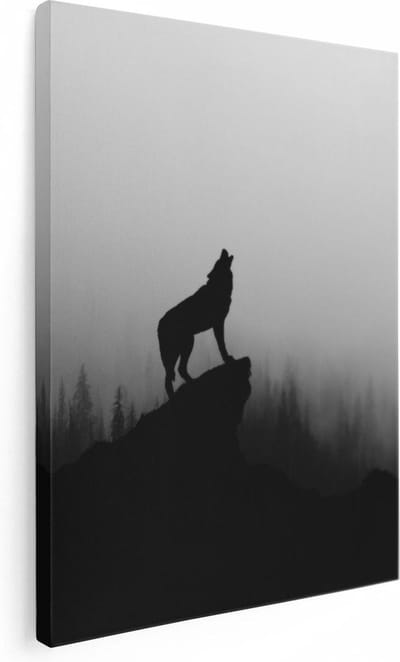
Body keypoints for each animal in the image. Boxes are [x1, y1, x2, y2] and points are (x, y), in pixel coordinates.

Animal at [158, 249, 234, 398]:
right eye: (219, 260)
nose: (223, 249)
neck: (218, 286)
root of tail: (159, 324)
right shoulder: (218, 323)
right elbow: (222, 345)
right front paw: (227, 359)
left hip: (182, 347)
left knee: (175, 372)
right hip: (184, 345)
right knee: (172, 376)